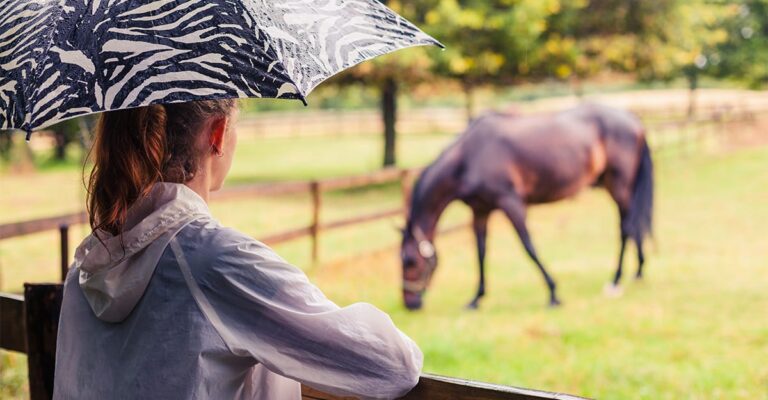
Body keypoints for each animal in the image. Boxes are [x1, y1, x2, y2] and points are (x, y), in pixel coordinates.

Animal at [400, 103, 653, 310]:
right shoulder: (480, 210)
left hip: (619, 186)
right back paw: (639, 271)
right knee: (632, 225)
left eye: (410, 261)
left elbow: (528, 246)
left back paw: (616, 280)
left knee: (626, 228)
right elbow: (480, 252)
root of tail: (634, 120)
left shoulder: (511, 203)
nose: (409, 304)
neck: (468, 158)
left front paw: (553, 293)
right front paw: (476, 298)